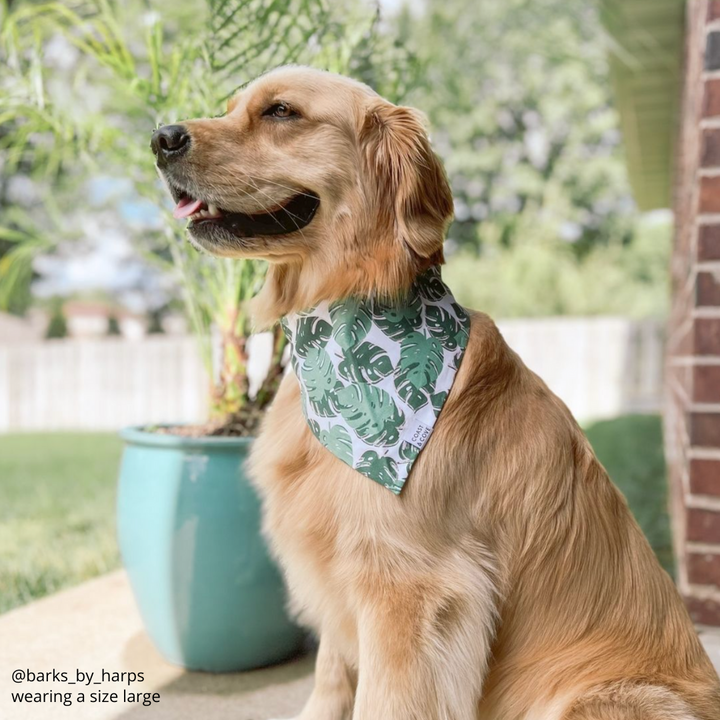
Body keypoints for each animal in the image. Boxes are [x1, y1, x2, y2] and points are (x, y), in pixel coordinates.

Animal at [152, 64, 720, 716]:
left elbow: (381, 700)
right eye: (230, 108)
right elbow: (329, 674)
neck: (342, 328)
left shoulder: (412, 592)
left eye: (280, 112)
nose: (161, 138)